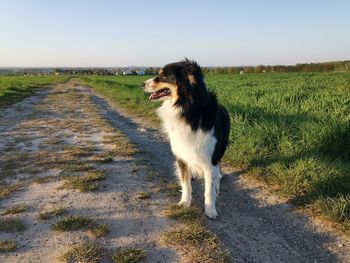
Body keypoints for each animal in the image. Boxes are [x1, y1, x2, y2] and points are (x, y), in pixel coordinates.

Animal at [142, 60, 230, 221]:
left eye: (163, 76)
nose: (141, 84)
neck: (188, 110)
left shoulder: (210, 159)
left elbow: (209, 188)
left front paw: (210, 210)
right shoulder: (182, 155)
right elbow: (185, 183)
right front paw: (184, 202)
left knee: (217, 169)